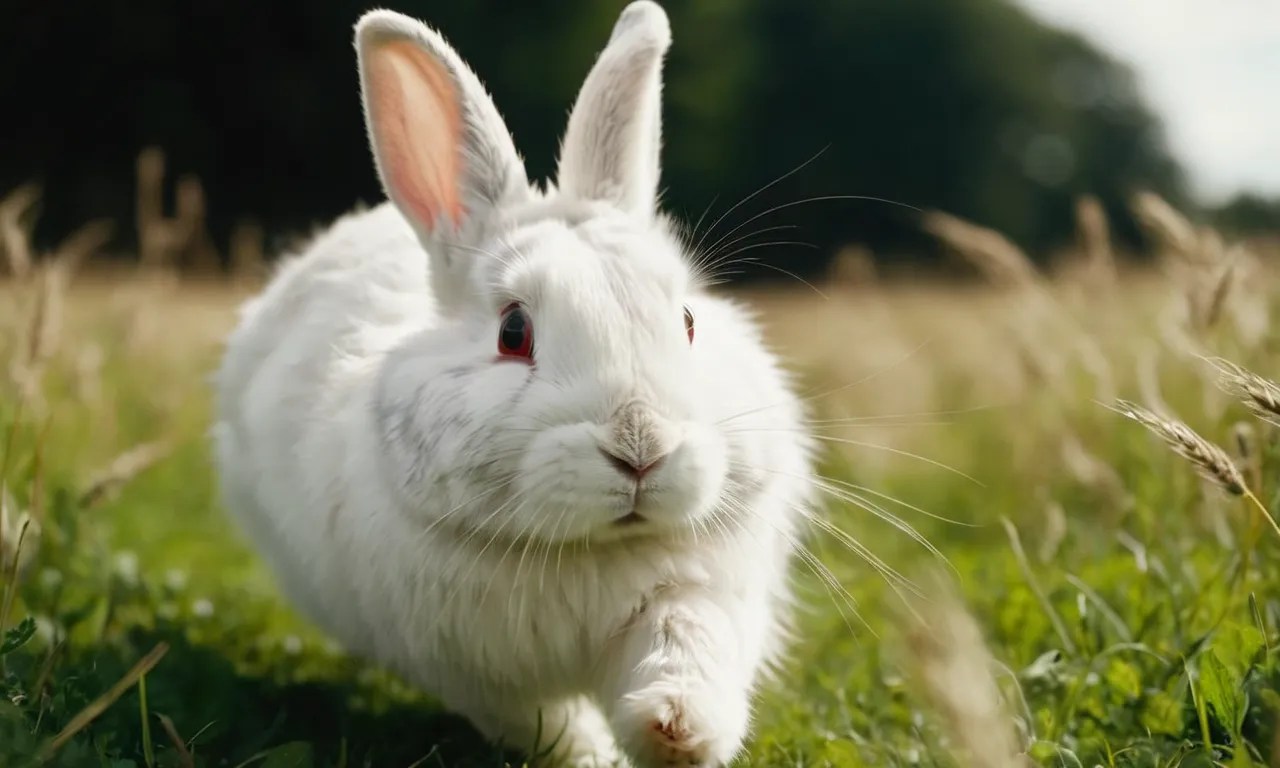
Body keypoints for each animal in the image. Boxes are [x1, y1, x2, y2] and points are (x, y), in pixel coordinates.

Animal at [212, 2, 814, 765]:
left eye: (686, 321)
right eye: (513, 331)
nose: (640, 447)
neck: (587, 550)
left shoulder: (698, 595)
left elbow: (686, 652)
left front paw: (678, 731)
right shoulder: (474, 674)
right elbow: (547, 723)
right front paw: (594, 755)